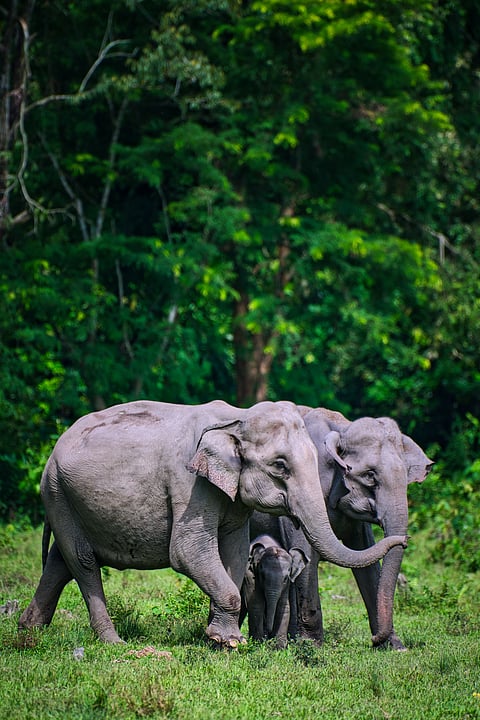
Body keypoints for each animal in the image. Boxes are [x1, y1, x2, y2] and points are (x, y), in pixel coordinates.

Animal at [17, 400, 408, 647]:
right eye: (280, 465)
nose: (402, 541)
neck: (236, 418)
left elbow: (233, 553)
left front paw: (221, 640)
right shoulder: (189, 483)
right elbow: (186, 551)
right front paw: (229, 641)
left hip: (65, 498)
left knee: (61, 561)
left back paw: (29, 633)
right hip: (56, 492)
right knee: (83, 562)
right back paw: (114, 643)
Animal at [250, 407, 433, 650]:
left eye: (405, 476)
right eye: (370, 475)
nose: (374, 639)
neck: (341, 427)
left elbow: (366, 558)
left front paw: (395, 647)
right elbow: (306, 553)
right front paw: (311, 646)